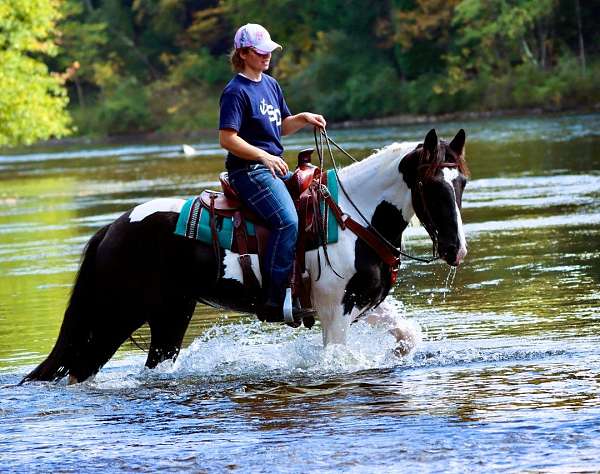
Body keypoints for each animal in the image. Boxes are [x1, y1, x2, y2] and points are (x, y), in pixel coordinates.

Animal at [22, 128, 468, 384]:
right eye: (432, 185)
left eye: (461, 181)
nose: (455, 249)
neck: (353, 217)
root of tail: (112, 230)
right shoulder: (333, 309)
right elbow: (338, 358)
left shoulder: (364, 301)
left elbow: (408, 336)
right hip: (118, 316)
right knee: (80, 370)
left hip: (169, 315)